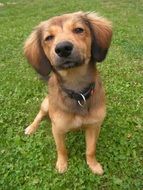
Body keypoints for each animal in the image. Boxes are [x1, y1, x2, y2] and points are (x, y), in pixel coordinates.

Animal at [24, 11, 112, 175]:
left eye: (79, 30)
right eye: (48, 38)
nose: (63, 48)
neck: (77, 91)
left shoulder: (94, 126)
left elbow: (90, 150)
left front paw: (93, 165)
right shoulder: (57, 129)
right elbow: (61, 149)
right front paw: (62, 164)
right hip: (46, 104)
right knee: (39, 116)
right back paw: (31, 128)